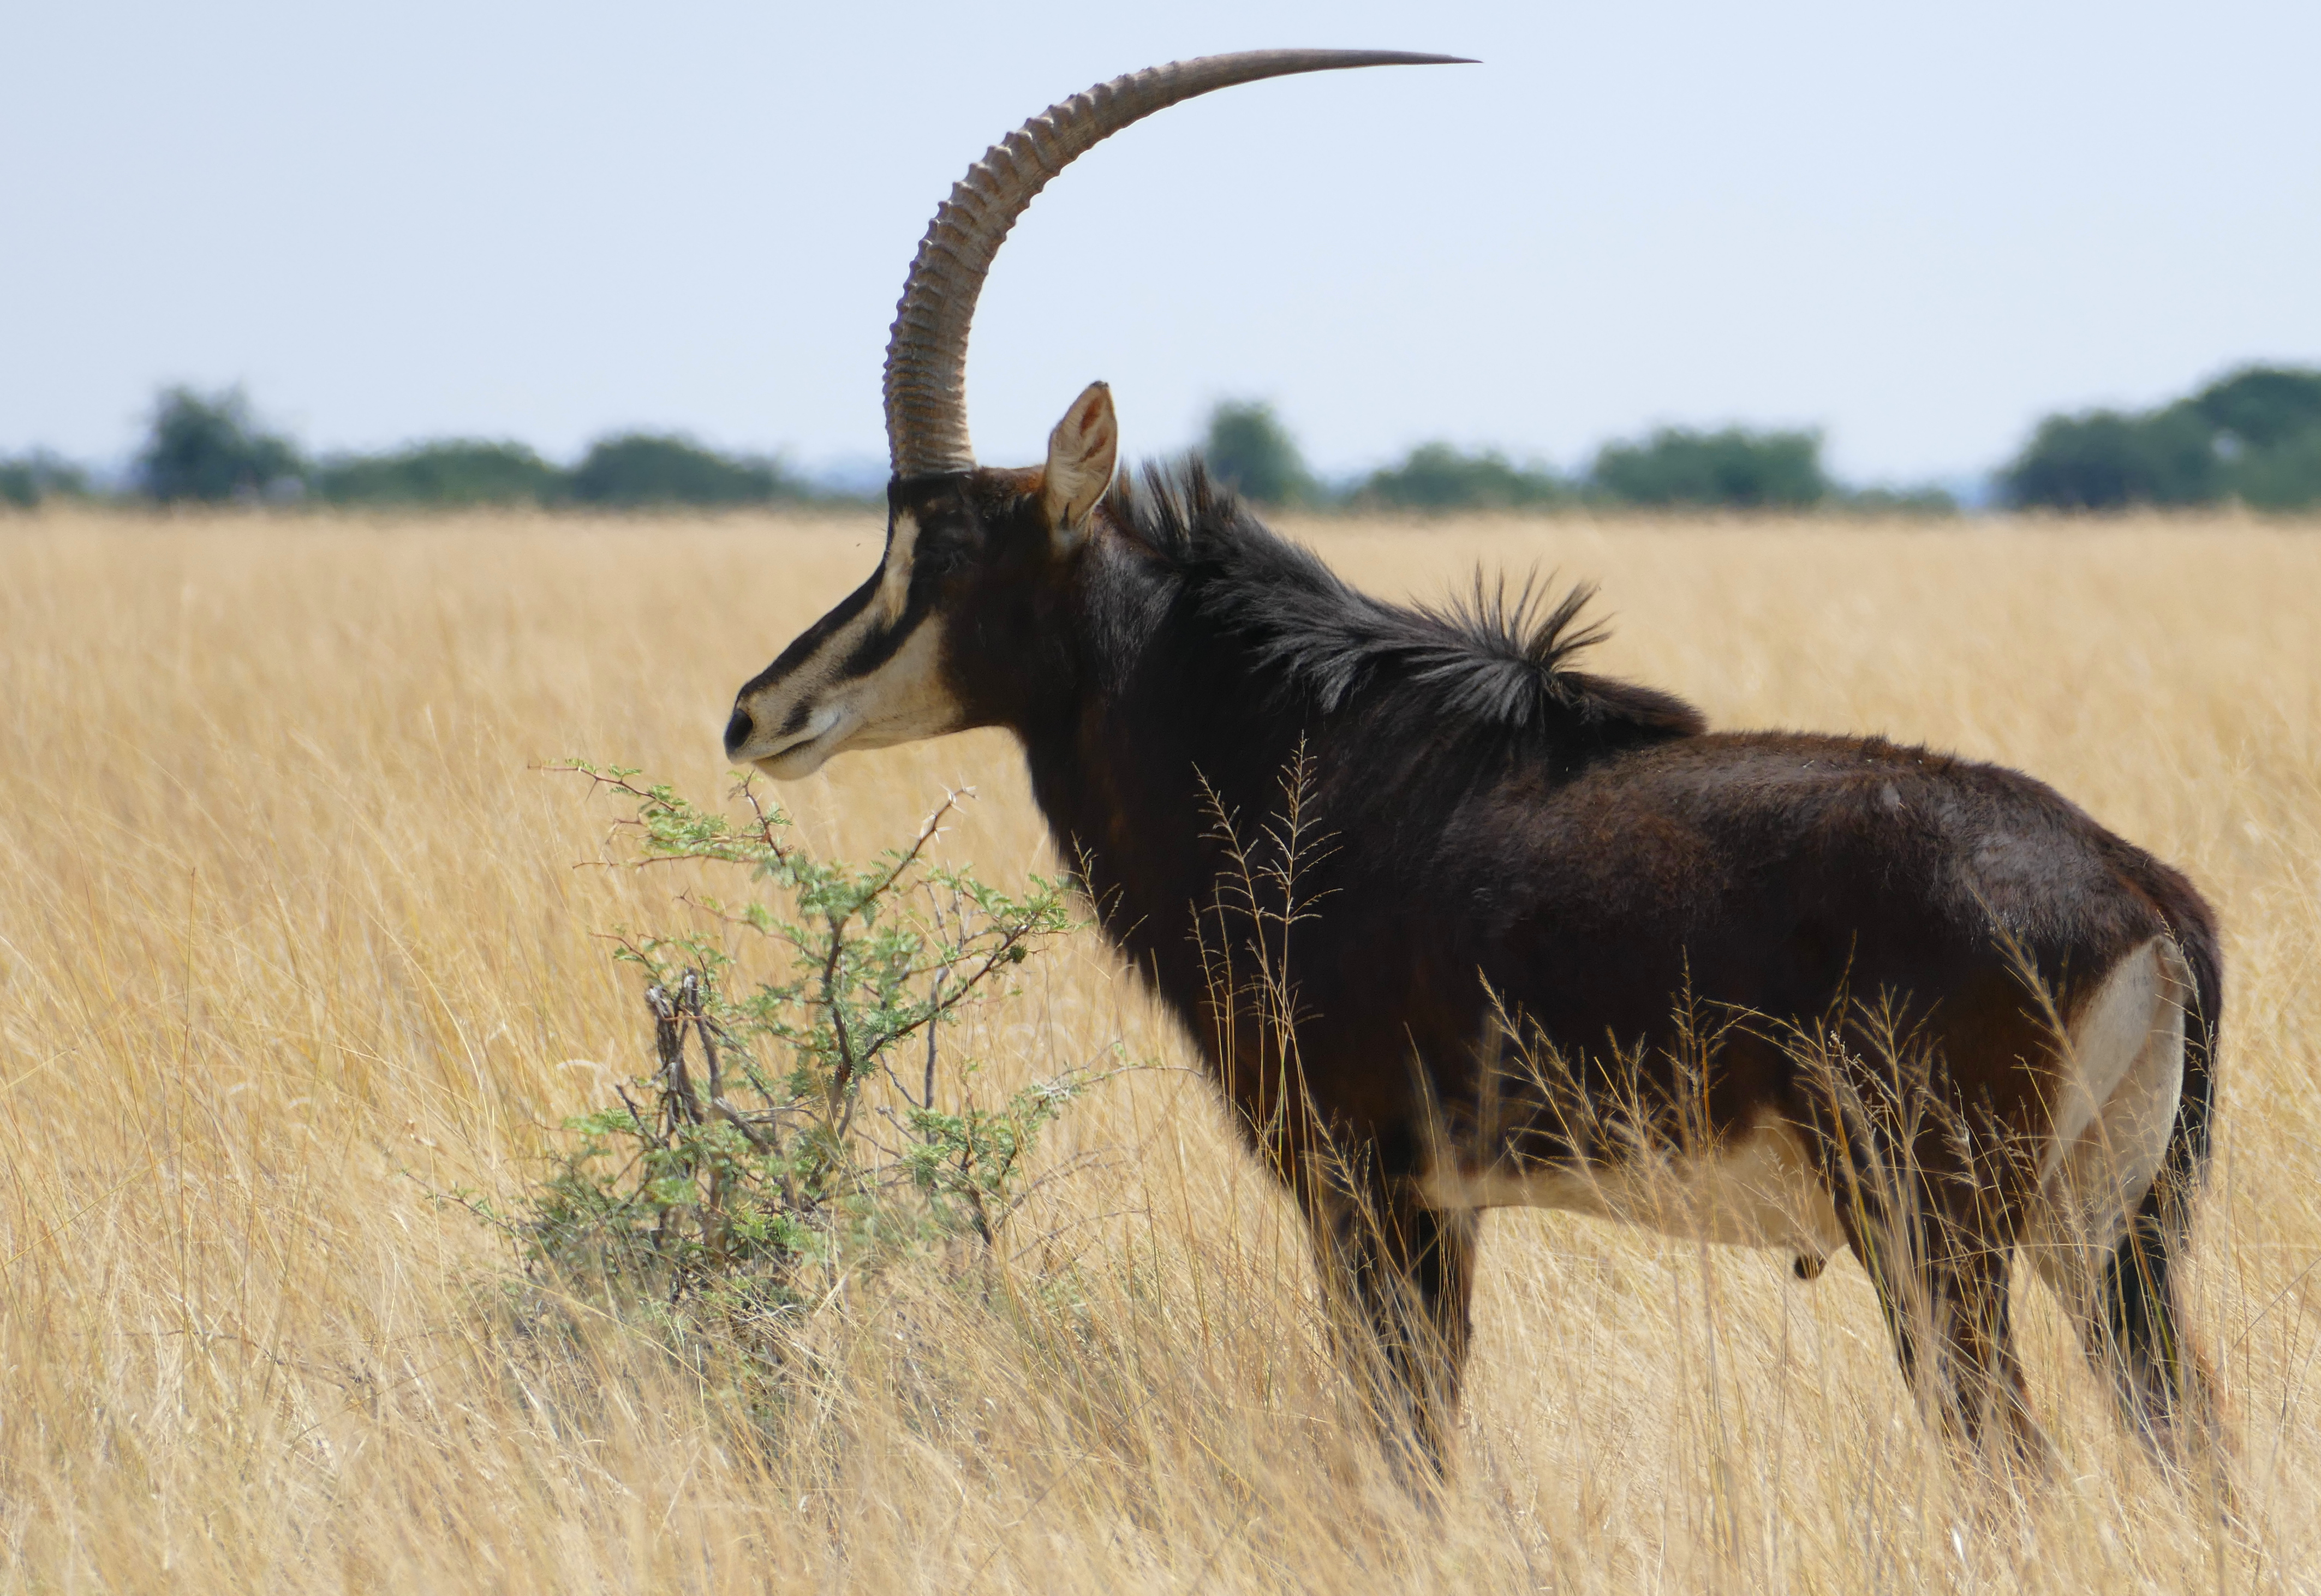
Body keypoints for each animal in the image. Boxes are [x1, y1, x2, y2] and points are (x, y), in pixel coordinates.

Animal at [729, 43, 2228, 1475]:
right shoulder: (1436, 1200)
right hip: (2114, 1238)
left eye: (942, 552)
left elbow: (1402, 1439)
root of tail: (2142, 893)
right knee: (2182, 1443)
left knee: (2009, 1458)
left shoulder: (1360, 1181)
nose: (756, 711)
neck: (1295, 752)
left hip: (1934, 1231)